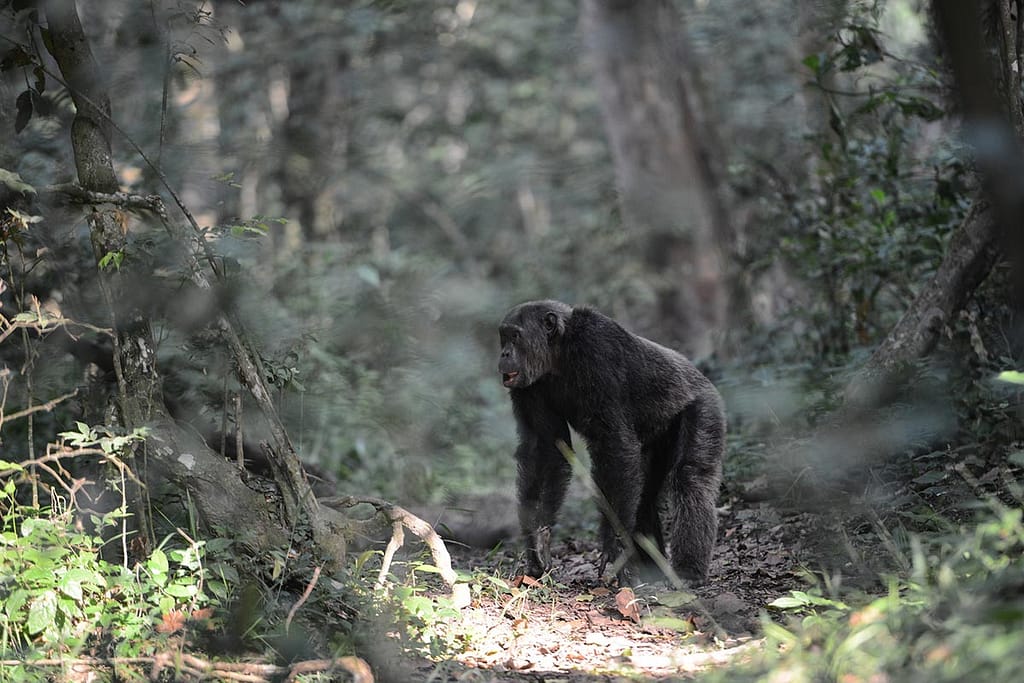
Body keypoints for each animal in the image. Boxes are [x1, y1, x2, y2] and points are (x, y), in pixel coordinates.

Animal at [498, 300, 725, 585]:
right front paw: (537, 543)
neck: (559, 355)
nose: (504, 353)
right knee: (644, 497)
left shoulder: (598, 350)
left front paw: (613, 545)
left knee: (691, 477)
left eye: (515, 336)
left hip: (705, 407)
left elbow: (615, 443)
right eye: (503, 336)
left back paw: (688, 571)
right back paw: (651, 570)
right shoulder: (529, 389)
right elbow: (545, 450)